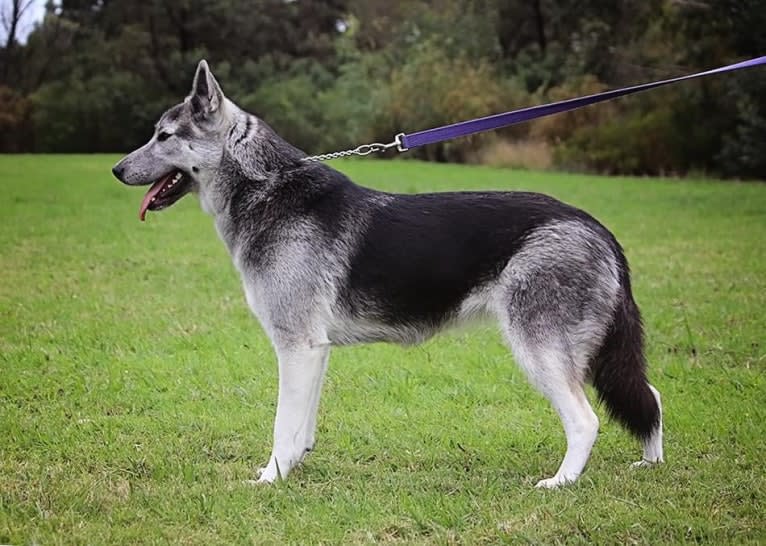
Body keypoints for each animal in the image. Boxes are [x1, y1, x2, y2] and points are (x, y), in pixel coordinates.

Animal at [111, 61, 664, 486]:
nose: (116, 170)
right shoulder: (314, 351)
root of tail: (595, 227)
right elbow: (301, 429)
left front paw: (270, 480)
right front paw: (292, 470)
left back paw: (560, 483)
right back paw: (649, 465)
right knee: (650, 398)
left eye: (164, 136)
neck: (265, 187)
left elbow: (281, 427)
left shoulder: (296, 348)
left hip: (541, 351)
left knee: (585, 420)